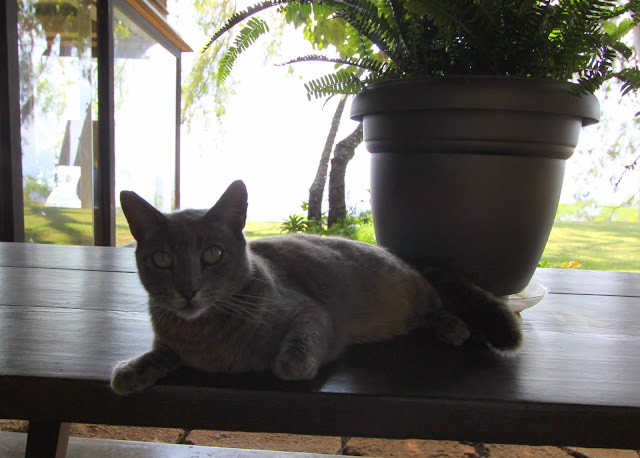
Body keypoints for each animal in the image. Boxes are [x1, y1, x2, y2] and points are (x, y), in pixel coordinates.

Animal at [111, 181, 520, 396]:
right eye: (161, 260)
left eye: (213, 254)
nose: (188, 290)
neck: (207, 333)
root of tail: (402, 257)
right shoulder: (170, 341)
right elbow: (160, 353)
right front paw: (132, 370)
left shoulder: (311, 313)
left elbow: (295, 354)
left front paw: (288, 362)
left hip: (408, 291)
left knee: (434, 306)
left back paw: (452, 327)